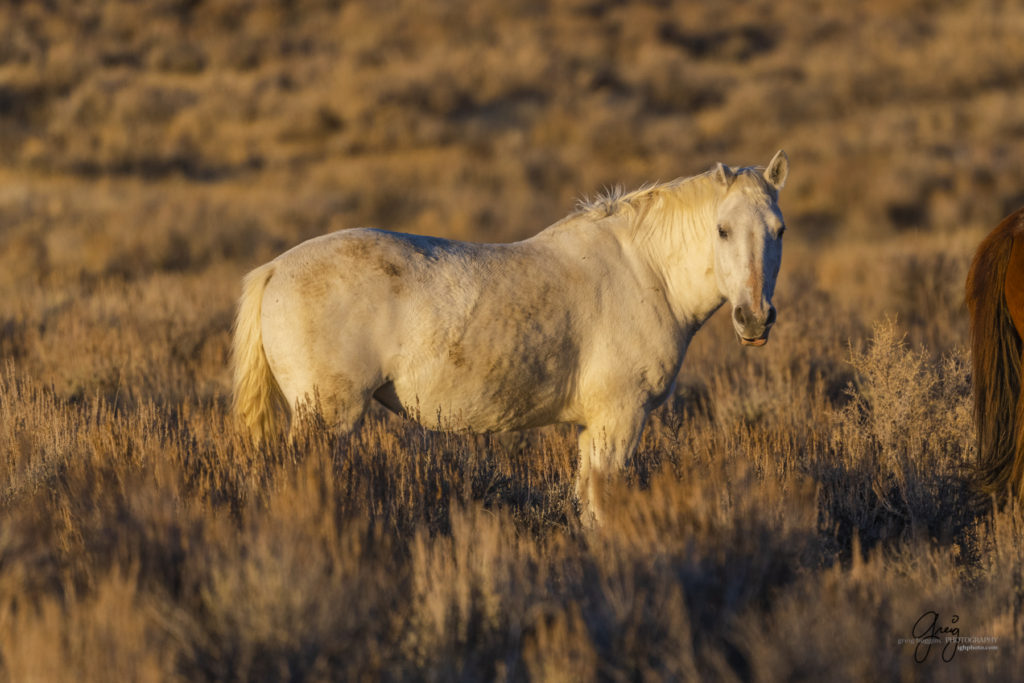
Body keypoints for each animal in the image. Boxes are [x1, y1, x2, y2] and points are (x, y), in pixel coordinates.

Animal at [234, 152, 790, 528]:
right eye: (721, 230)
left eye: (780, 230)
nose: (754, 319)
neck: (645, 271)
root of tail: (274, 269)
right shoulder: (619, 419)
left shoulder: (592, 428)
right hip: (326, 418)